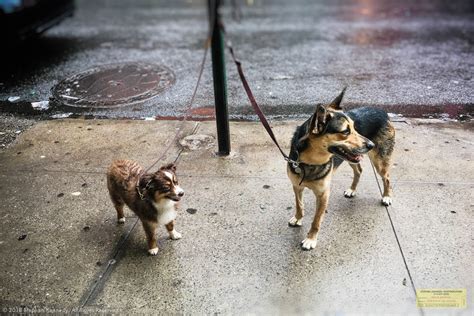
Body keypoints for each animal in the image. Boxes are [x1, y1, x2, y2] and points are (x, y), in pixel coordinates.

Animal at [286, 88, 394, 249]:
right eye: (345, 132)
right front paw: (298, 218)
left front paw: (311, 239)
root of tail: (382, 111)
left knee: (386, 178)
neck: (308, 162)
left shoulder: (323, 195)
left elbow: (316, 221)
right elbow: (299, 205)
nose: (371, 145)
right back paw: (352, 190)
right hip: (352, 157)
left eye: (355, 128)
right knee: (359, 170)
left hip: (379, 161)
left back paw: (386, 196)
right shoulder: (297, 187)